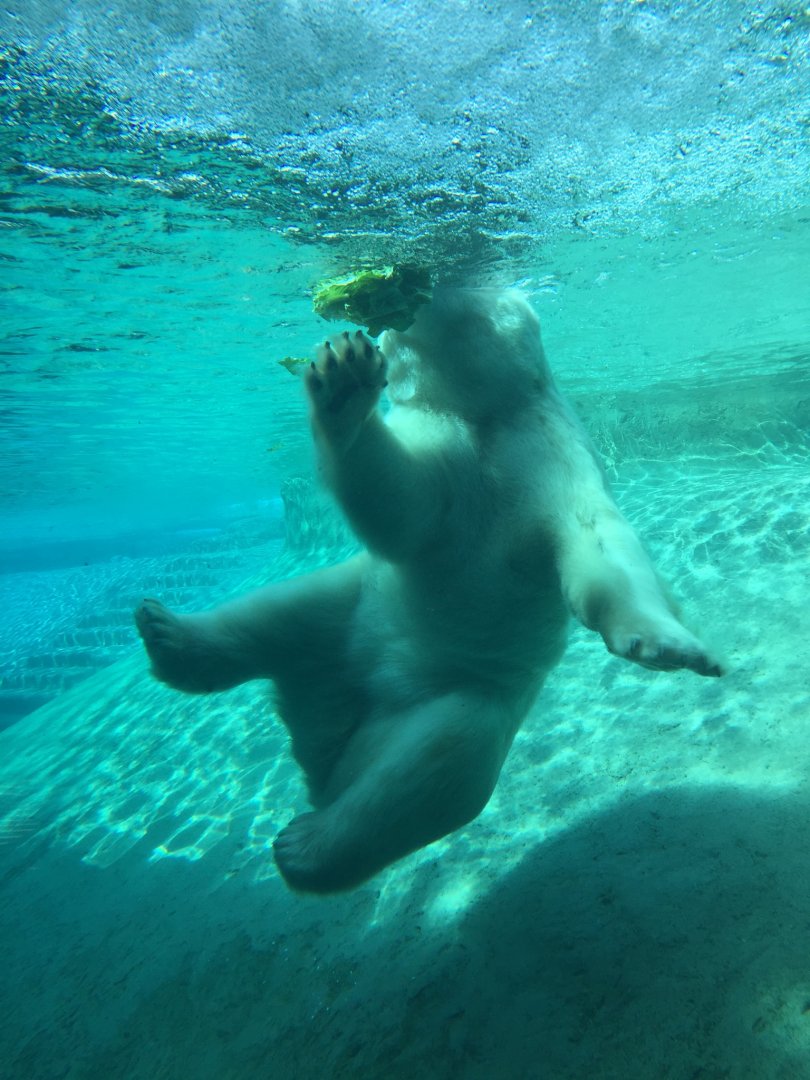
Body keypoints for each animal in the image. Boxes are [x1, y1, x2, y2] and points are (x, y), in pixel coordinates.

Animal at [135, 287, 722, 894]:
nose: (391, 316)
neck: (484, 411)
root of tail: (334, 745)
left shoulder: (549, 451)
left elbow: (596, 540)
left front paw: (668, 645)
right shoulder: (446, 447)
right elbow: (400, 503)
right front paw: (344, 375)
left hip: (468, 691)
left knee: (438, 769)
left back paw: (305, 844)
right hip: (348, 605)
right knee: (278, 616)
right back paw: (168, 631)